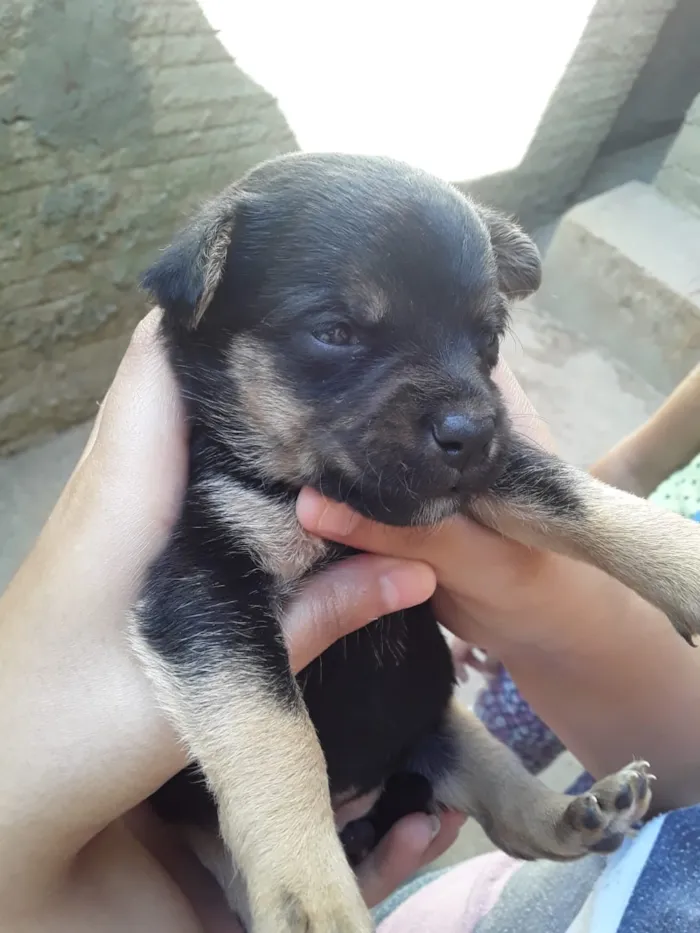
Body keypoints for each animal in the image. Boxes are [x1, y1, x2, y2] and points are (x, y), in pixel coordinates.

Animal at [133, 155, 700, 932]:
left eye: (488, 337)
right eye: (335, 331)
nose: (471, 432)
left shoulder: (489, 470)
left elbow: (575, 496)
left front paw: (688, 564)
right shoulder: (202, 588)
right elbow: (274, 733)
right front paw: (316, 900)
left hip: (441, 715)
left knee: (507, 807)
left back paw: (582, 812)